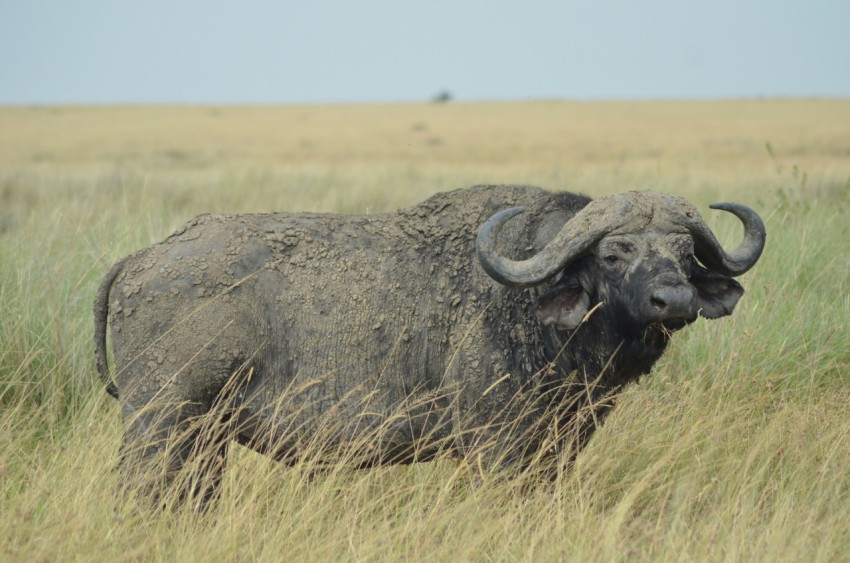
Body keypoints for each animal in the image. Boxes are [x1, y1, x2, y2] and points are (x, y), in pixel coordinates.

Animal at [94, 184, 765, 506]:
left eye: (683, 252)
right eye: (614, 253)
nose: (673, 300)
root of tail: (143, 258)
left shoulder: (560, 445)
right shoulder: (497, 447)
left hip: (203, 439)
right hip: (161, 423)